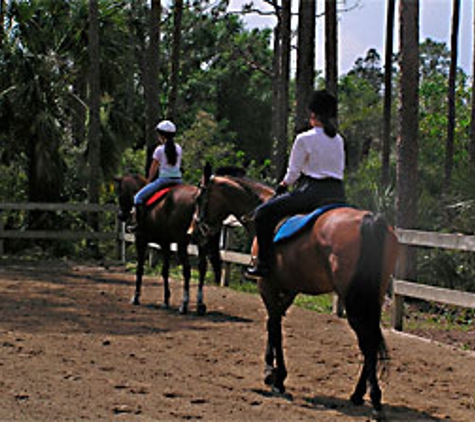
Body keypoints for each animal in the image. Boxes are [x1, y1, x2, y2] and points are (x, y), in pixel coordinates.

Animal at [114, 173, 222, 314]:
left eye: (119, 193)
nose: (121, 215)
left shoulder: (140, 240)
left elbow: (140, 269)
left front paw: (136, 297)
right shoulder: (165, 244)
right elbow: (165, 271)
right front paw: (165, 300)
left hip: (182, 244)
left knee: (187, 270)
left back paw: (184, 304)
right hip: (201, 243)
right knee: (202, 268)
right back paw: (200, 304)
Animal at [192, 166, 400, 420]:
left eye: (199, 197)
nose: (195, 231)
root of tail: (370, 220)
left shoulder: (266, 285)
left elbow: (274, 325)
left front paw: (274, 374)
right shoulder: (289, 290)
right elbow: (274, 322)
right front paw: (274, 372)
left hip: (353, 300)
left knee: (367, 342)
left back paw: (374, 400)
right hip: (371, 298)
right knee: (368, 342)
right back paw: (359, 395)